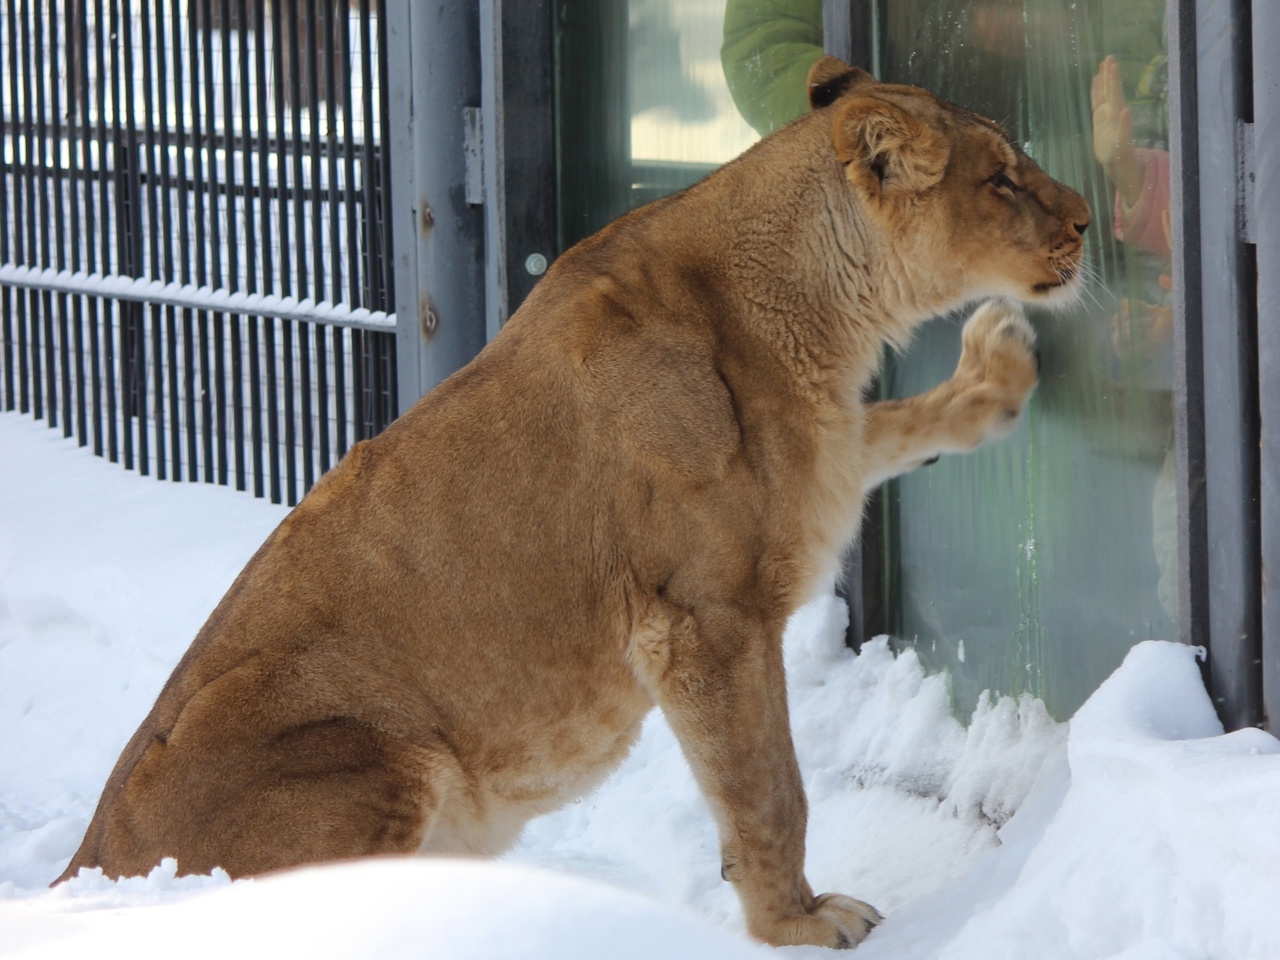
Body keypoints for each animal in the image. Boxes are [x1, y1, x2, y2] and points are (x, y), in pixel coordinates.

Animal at [55, 62, 1085, 957]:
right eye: (1001, 179)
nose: (1084, 216)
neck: (816, 310)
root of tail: (85, 867)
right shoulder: (702, 616)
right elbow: (768, 790)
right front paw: (799, 924)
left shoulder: (819, 459)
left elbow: (899, 426)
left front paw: (997, 373)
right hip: (377, 753)